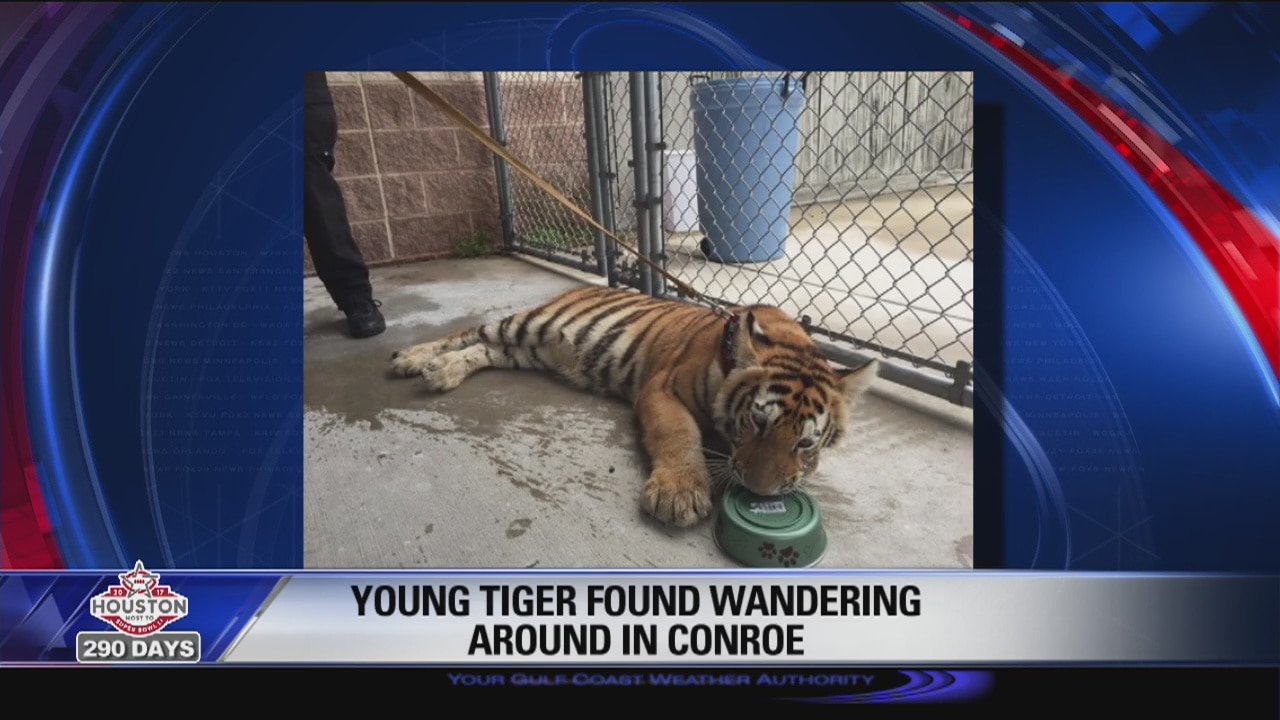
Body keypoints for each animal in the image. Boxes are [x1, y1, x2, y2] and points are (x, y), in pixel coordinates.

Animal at [389, 285, 879, 528]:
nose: (759, 493)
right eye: (757, 422)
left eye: (805, 443)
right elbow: (679, 436)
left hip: (526, 351)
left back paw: (443, 371)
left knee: (483, 350)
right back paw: (413, 358)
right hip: (524, 325)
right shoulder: (662, 391)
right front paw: (679, 494)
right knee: (468, 333)